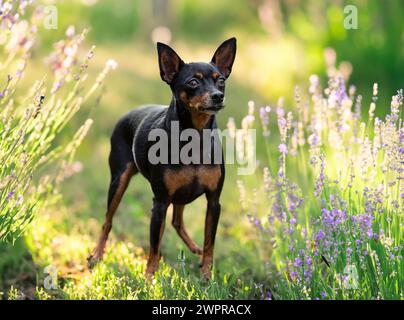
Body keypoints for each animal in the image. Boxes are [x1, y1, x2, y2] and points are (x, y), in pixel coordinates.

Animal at [86, 37, 237, 278]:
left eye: (221, 80)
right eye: (193, 82)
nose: (218, 96)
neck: (194, 137)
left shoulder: (214, 202)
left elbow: (209, 242)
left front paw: (206, 273)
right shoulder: (160, 202)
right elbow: (154, 245)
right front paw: (149, 277)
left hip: (180, 195)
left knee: (176, 222)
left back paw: (193, 248)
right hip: (119, 181)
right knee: (108, 221)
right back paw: (97, 255)